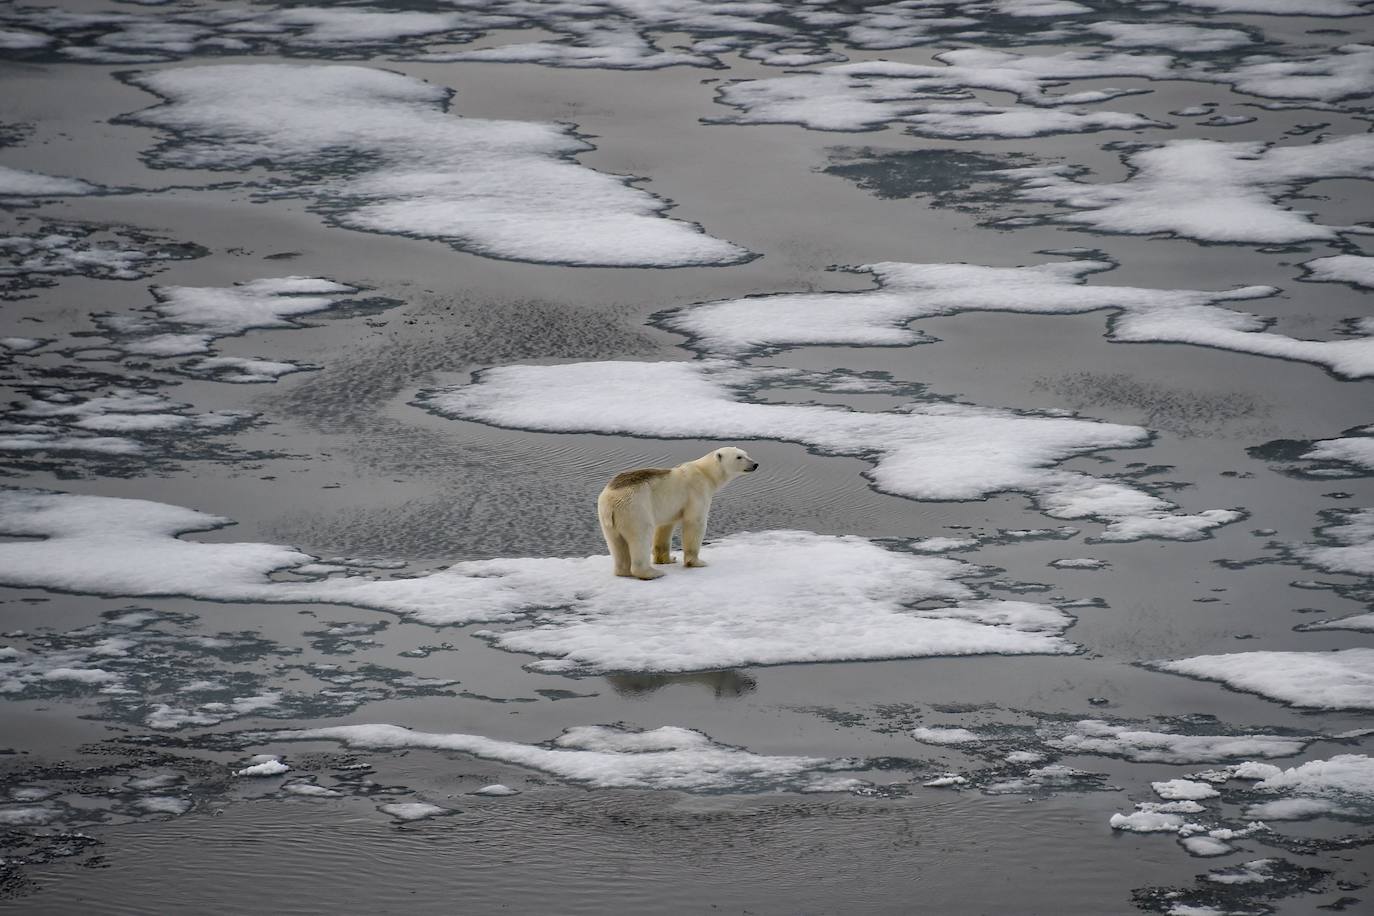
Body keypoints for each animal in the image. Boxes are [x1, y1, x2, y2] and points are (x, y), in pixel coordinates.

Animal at [597, 446, 759, 579]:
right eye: (739, 457)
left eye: (746, 454)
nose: (755, 464)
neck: (705, 473)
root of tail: (610, 501)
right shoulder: (697, 492)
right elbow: (695, 522)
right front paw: (697, 562)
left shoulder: (669, 507)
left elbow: (665, 528)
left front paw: (668, 559)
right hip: (635, 509)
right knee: (641, 536)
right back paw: (652, 573)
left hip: (609, 519)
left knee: (616, 543)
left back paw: (623, 571)